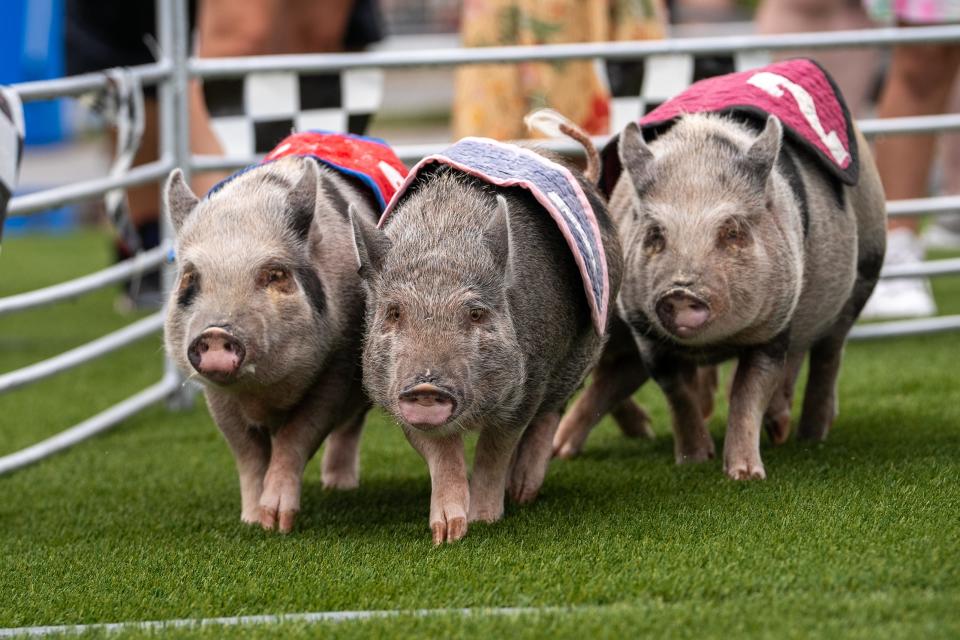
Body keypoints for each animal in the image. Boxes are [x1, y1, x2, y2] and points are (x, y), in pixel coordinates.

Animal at [165, 156, 376, 536]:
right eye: (189, 277)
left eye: (275, 274)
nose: (215, 333)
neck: (263, 395)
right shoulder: (215, 395)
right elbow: (247, 453)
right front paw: (252, 522)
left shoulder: (336, 367)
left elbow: (297, 436)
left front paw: (280, 524)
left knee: (350, 425)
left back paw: (339, 486)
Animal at [348, 117, 628, 544]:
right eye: (394, 312)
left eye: (476, 313)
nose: (426, 385)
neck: (442, 244)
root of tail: (586, 176)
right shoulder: (392, 393)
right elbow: (442, 454)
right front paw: (447, 533)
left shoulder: (527, 382)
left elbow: (496, 448)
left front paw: (485, 519)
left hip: (583, 349)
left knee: (552, 412)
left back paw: (524, 492)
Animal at [556, 96, 884, 476]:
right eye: (654, 234)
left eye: (733, 231)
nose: (681, 292)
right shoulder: (645, 333)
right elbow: (677, 392)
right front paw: (694, 460)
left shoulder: (777, 322)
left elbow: (748, 391)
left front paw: (745, 475)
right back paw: (563, 451)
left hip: (865, 268)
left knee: (827, 355)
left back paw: (809, 436)